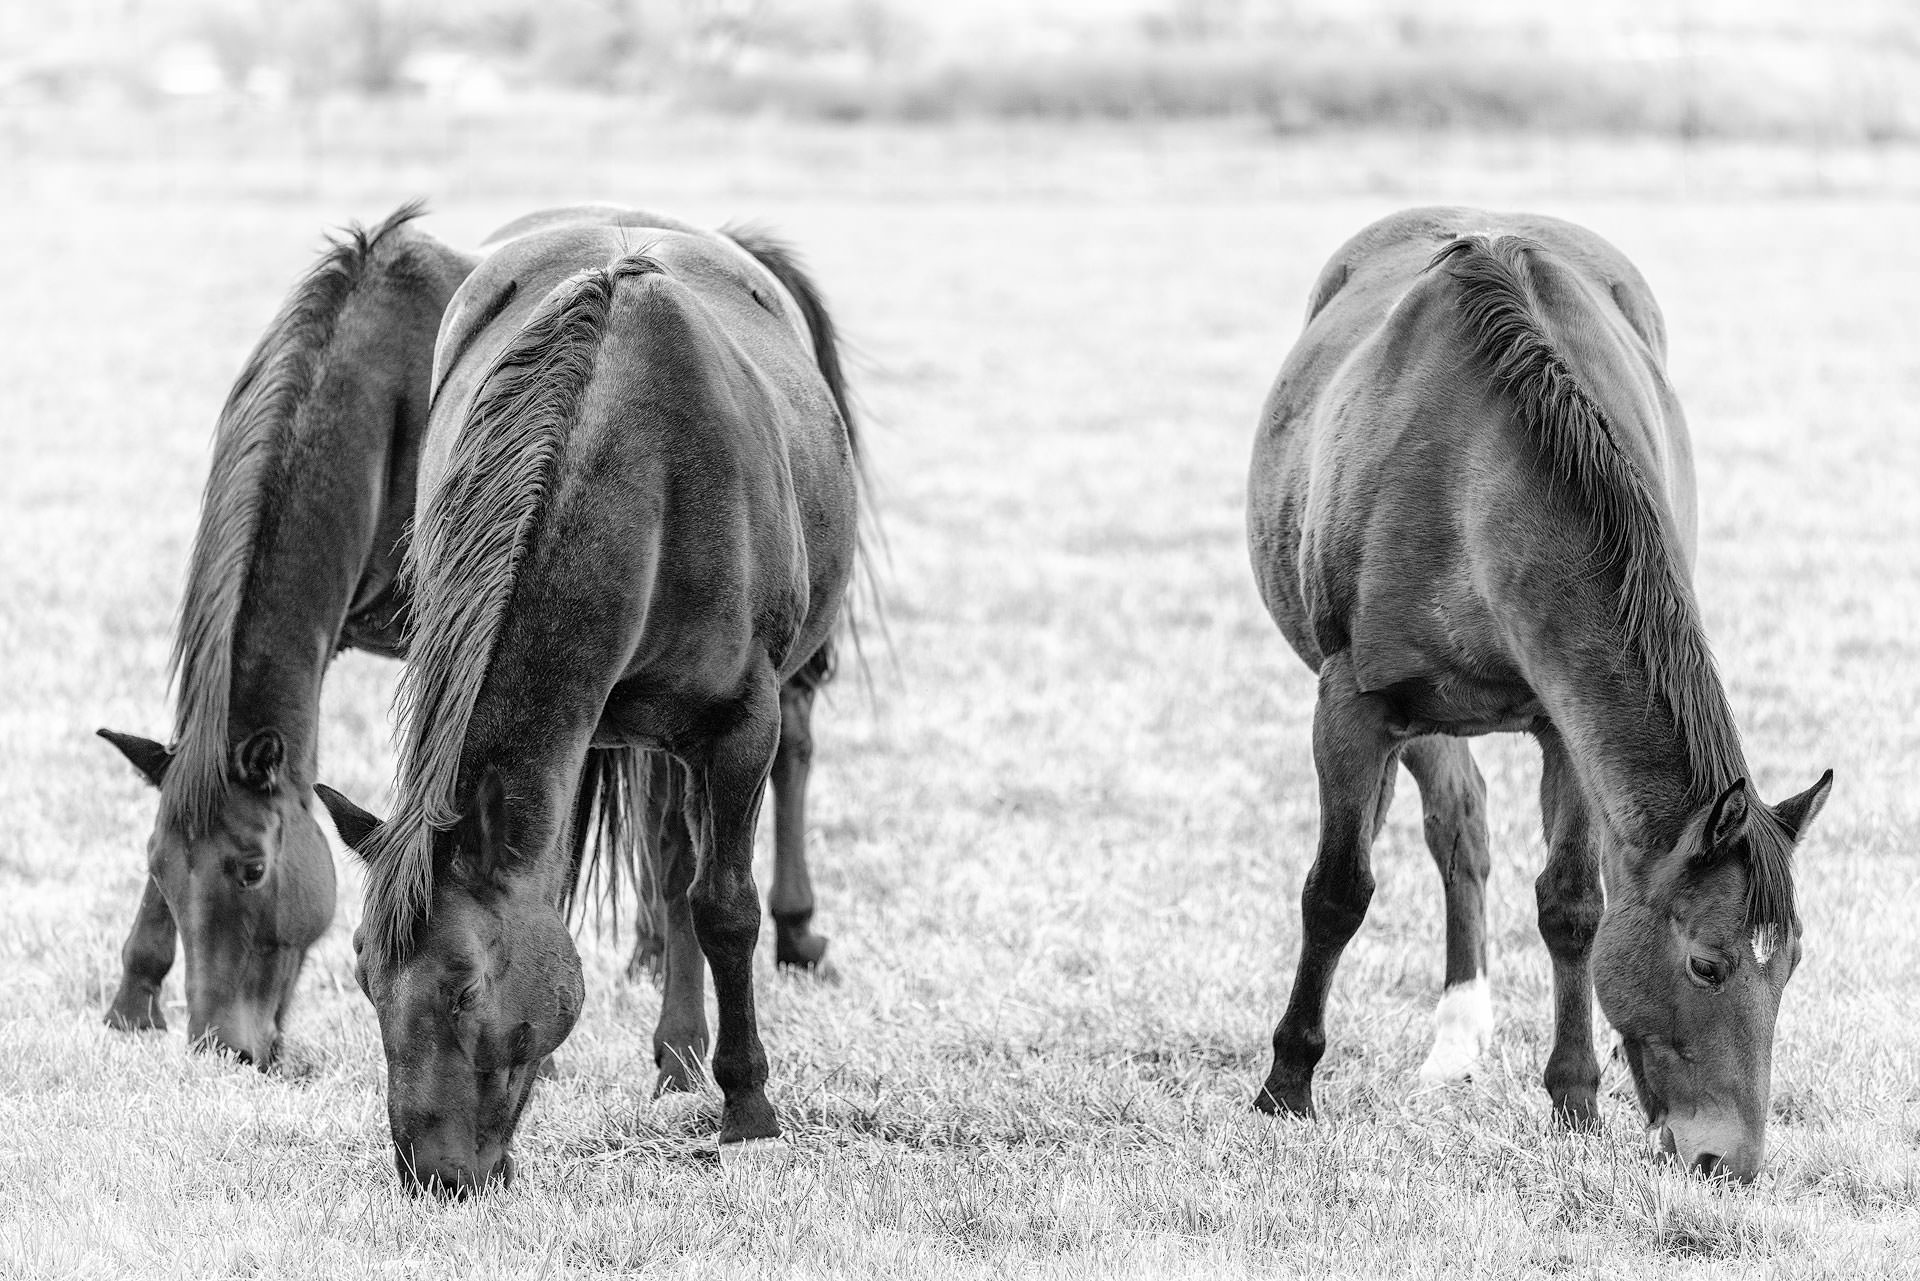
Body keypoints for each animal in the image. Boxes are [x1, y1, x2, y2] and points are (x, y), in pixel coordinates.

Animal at [314, 206, 864, 1195]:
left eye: (464, 988)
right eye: (365, 978)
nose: (432, 1175)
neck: (643, 471)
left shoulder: (740, 726)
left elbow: (725, 905)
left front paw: (749, 1109)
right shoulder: (587, 730)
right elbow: (647, 881)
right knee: (667, 854)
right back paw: (676, 1052)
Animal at [1245, 207, 1832, 1182]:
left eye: (1788, 966)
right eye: (1708, 965)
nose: (1730, 1163)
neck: (1480, 471)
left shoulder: (1567, 724)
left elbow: (1573, 908)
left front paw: (1575, 1100)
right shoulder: (1355, 704)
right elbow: (1337, 891)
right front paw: (1285, 1087)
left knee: (1467, 833)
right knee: (1451, 832)